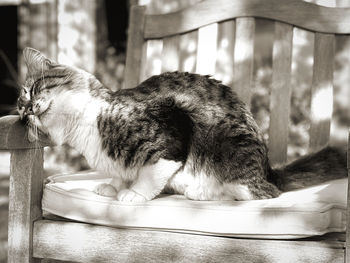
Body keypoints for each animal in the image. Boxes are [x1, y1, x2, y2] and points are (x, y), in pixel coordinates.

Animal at [17, 48, 348, 202]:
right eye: (21, 112)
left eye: (33, 90)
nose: (28, 110)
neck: (84, 129)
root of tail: (268, 169)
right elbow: (122, 173)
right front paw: (113, 185)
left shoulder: (173, 131)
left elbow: (151, 172)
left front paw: (133, 193)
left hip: (234, 158)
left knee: (262, 192)